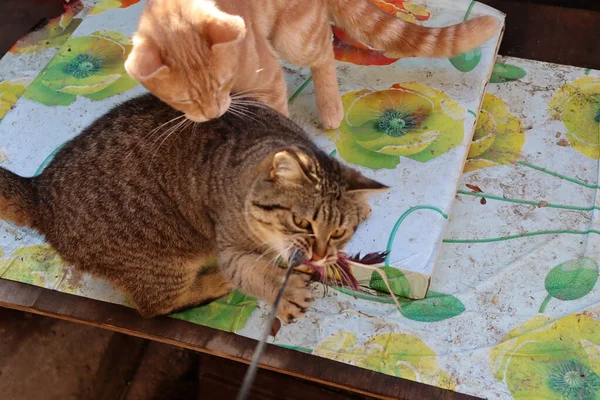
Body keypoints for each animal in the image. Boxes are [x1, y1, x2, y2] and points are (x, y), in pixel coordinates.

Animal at [0, 95, 384, 324]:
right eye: (301, 222)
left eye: (339, 231)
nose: (318, 255)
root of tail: (39, 190)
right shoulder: (230, 247)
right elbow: (252, 273)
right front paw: (284, 290)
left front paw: (362, 205)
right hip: (163, 262)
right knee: (157, 306)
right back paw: (214, 283)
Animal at [124, 0, 500, 129]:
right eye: (183, 99)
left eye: (223, 82)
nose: (215, 112)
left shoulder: (268, 77)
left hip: (294, 38)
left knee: (324, 50)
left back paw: (331, 108)